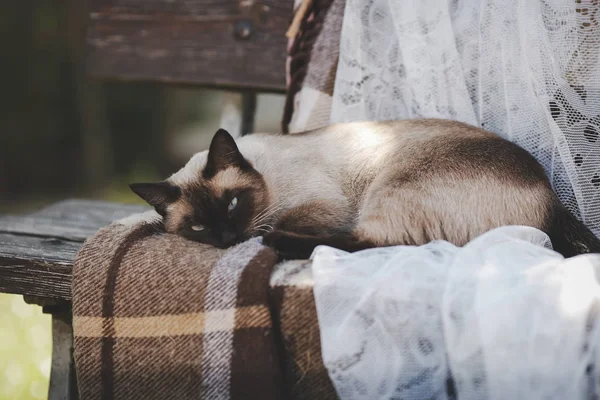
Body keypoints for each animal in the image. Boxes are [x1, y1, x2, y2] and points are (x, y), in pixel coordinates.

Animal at [129, 119, 596, 260]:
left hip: (390, 189)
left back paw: (279, 242)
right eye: (197, 229)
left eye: (232, 204)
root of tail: (553, 202)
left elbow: (288, 222)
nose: (228, 239)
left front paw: (268, 234)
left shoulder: (323, 206)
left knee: (378, 243)